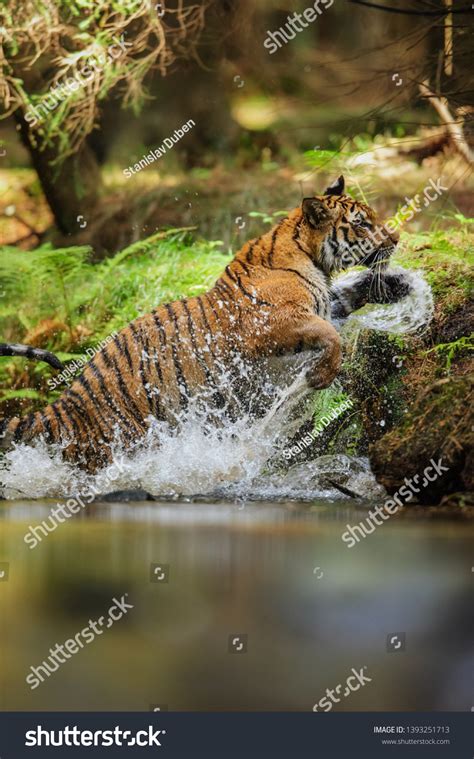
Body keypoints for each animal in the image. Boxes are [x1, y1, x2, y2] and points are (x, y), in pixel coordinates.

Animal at [1, 176, 406, 472]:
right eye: (362, 223)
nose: (398, 238)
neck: (312, 256)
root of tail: (62, 407)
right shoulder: (270, 324)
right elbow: (331, 335)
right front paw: (321, 375)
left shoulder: (322, 305)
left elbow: (346, 299)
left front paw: (395, 286)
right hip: (126, 441)